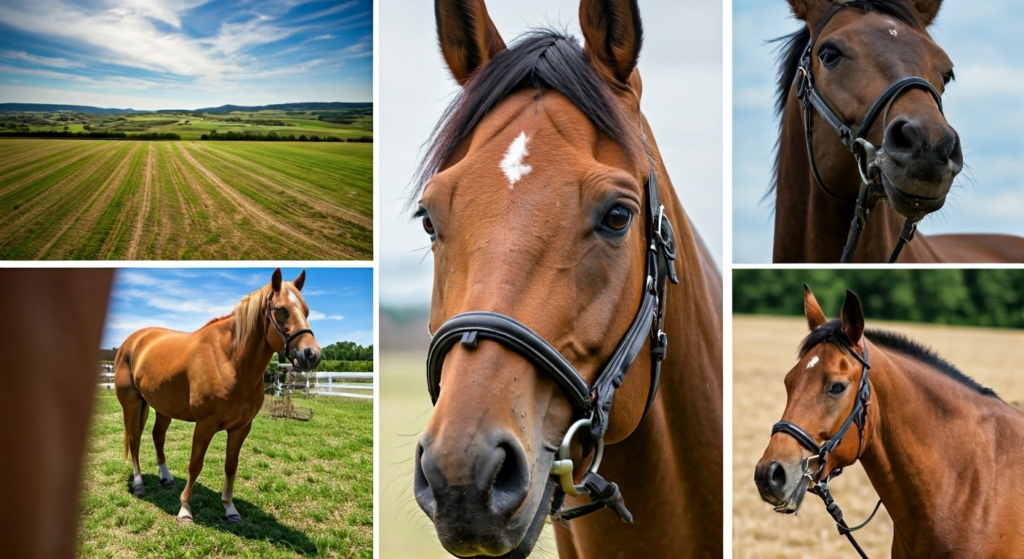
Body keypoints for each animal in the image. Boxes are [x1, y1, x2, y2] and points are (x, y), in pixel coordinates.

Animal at [112, 268, 321, 522]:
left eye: (306, 311)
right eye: (281, 309)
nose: (312, 354)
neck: (229, 360)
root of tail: (132, 341)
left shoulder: (241, 428)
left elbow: (231, 466)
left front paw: (230, 509)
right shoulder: (205, 425)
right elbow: (195, 464)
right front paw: (185, 510)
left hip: (163, 407)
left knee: (157, 436)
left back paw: (166, 478)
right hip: (131, 404)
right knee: (135, 440)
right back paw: (139, 483)